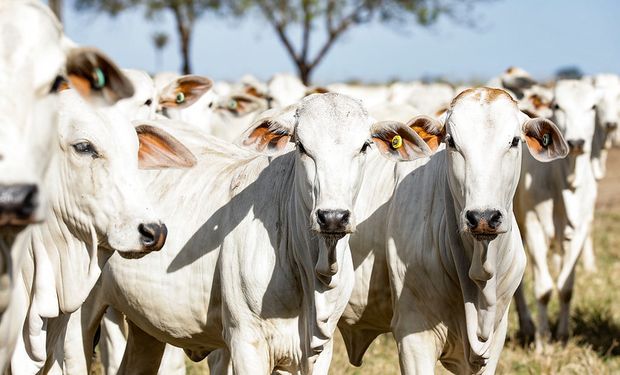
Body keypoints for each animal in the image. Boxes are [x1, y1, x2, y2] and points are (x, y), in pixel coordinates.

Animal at [71, 92, 432, 374]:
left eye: (365, 146)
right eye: (302, 146)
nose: (333, 217)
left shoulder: (319, 351)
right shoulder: (248, 344)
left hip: (144, 326)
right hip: (78, 316)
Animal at [512, 79, 600, 346]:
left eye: (593, 106)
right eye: (557, 105)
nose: (577, 142)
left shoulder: (580, 229)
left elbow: (566, 287)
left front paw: (562, 335)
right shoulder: (534, 226)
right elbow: (543, 289)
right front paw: (542, 341)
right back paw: (527, 326)